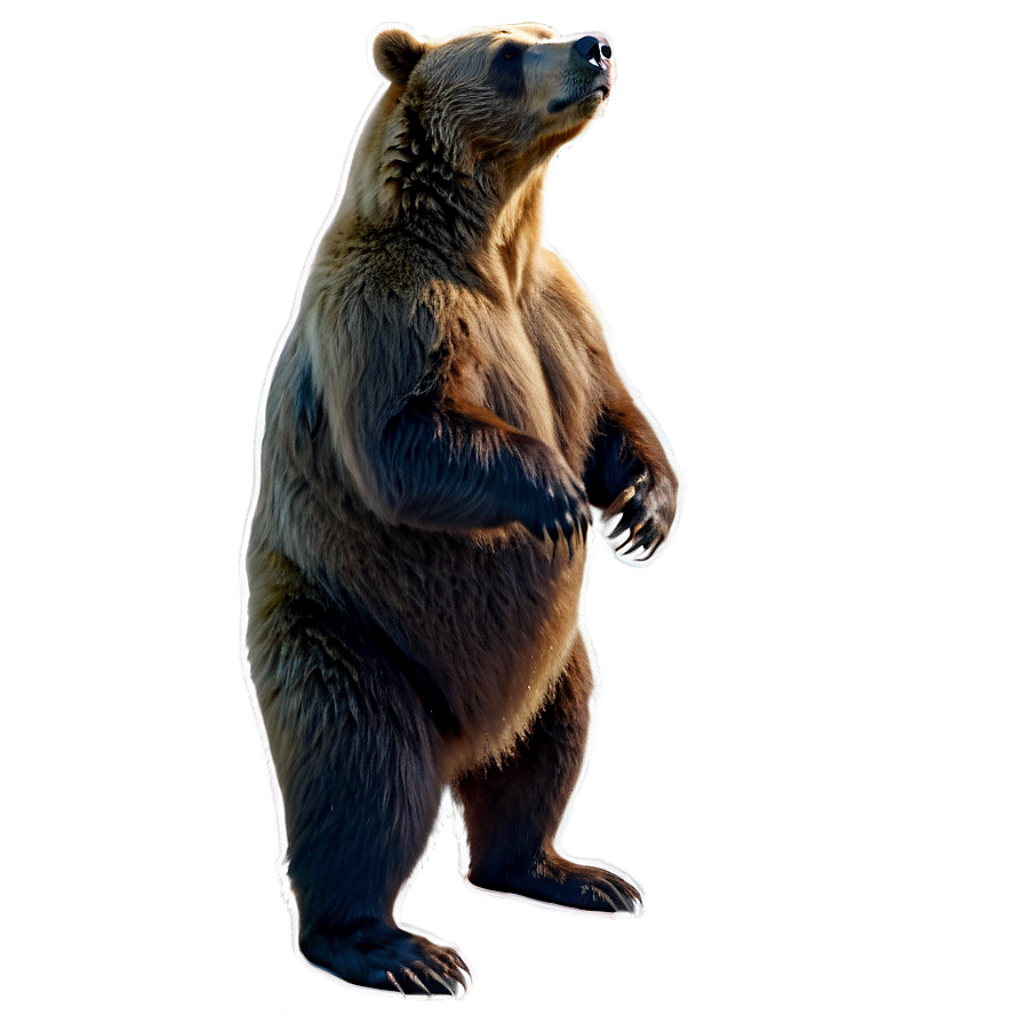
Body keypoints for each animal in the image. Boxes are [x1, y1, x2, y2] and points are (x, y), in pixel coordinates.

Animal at [241, 21, 681, 999]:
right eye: (511, 51)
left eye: (550, 31)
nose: (595, 46)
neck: (491, 242)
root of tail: (464, 743)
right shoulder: (390, 306)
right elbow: (409, 433)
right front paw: (557, 498)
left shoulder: (557, 308)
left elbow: (612, 412)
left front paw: (646, 509)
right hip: (352, 635)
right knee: (361, 771)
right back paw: (395, 948)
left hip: (550, 662)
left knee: (552, 743)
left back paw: (572, 872)